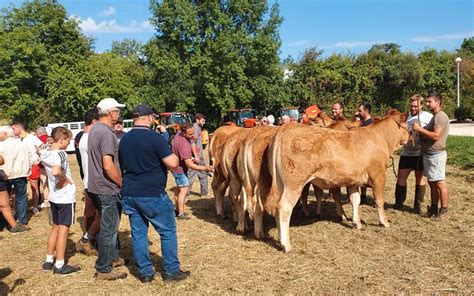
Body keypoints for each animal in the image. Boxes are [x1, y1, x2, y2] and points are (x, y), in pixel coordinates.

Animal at [264, 110, 410, 251]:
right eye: (408, 125)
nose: (410, 137)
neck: (381, 138)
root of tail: (286, 128)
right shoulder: (378, 176)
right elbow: (379, 201)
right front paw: (384, 222)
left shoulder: (353, 180)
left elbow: (355, 200)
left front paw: (356, 223)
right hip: (294, 184)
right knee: (284, 208)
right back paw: (286, 244)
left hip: (280, 183)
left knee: (277, 207)